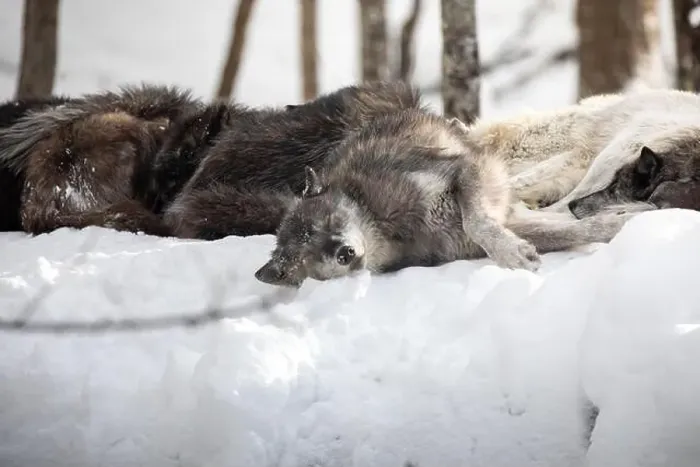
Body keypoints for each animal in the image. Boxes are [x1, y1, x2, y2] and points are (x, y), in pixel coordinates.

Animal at [254, 108, 634, 287]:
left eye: (327, 222)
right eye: (306, 256)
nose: (344, 253)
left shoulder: (466, 171)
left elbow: (478, 221)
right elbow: (571, 231)